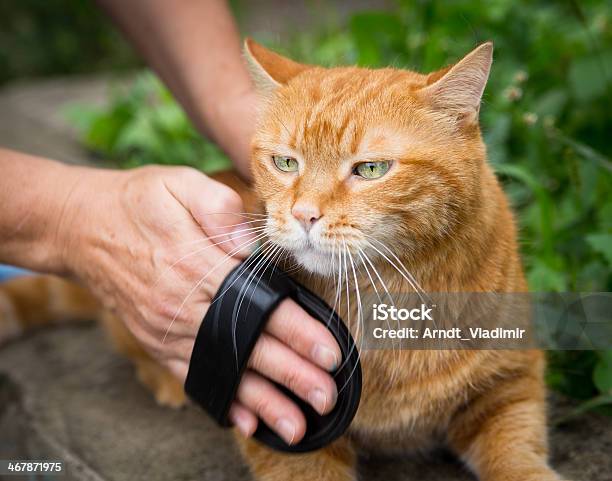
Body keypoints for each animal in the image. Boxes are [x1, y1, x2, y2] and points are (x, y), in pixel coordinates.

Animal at [0, 38, 568, 480]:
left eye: (372, 169)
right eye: (285, 162)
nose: (304, 213)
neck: (381, 296)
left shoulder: (511, 383)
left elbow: (518, 455)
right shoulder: (281, 425)